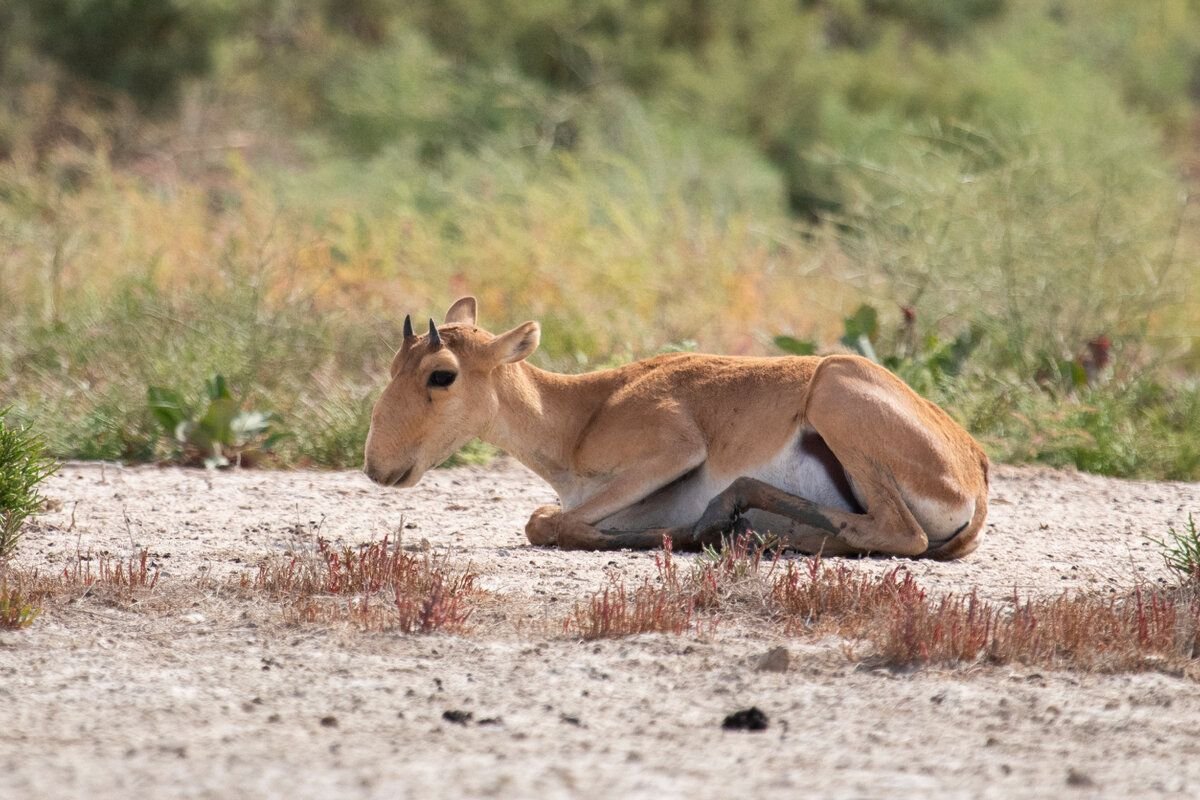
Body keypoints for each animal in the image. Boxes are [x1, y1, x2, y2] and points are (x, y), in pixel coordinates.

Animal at [360, 297, 988, 561]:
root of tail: (974, 470)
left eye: (442, 374)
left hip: (835, 389)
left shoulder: (674, 450)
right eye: (393, 364)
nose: (376, 465)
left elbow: (553, 523)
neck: (585, 412)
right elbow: (547, 519)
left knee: (901, 535)